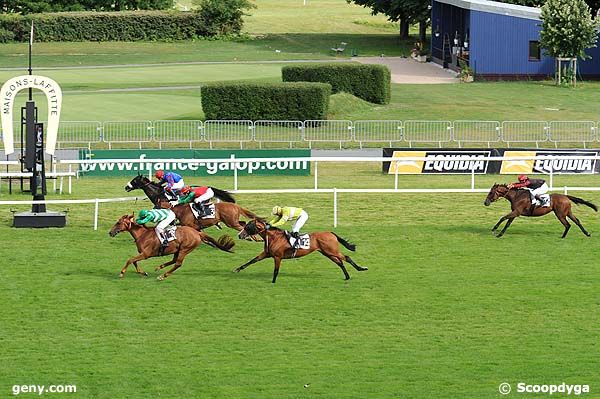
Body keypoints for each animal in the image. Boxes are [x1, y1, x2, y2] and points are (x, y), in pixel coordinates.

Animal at [233, 219, 366, 284]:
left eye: (248, 227)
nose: (240, 235)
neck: (274, 237)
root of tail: (331, 233)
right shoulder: (266, 254)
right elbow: (252, 261)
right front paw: (237, 269)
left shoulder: (277, 257)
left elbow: (276, 270)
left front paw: (273, 281)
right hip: (327, 253)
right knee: (340, 262)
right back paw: (347, 276)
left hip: (331, 251)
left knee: (346, 257)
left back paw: (361, 268)